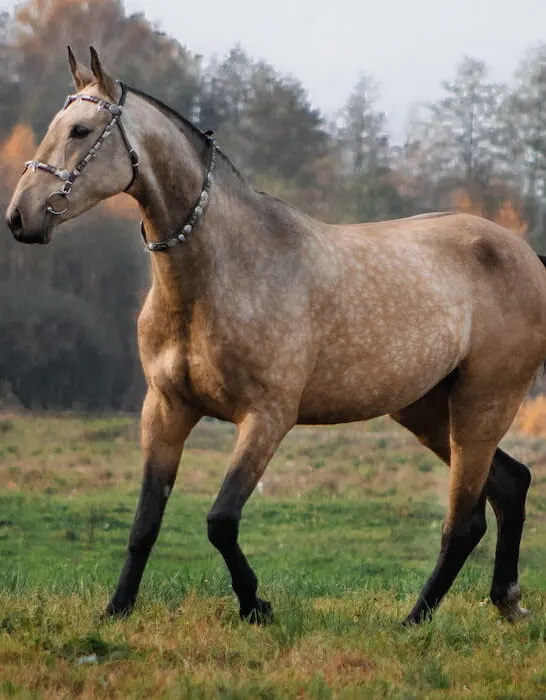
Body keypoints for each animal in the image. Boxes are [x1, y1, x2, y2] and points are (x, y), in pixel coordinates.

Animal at [5, 49, 544, 624]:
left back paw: (415, 620)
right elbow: (145, 522)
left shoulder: (266, 418)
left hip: (480, 406)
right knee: (510, 486)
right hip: (428, 410)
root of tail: (527, 255)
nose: (20, 217)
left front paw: (256, 605)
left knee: (464, 521)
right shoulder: (167, 410)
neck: (222, 273)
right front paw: (117, 610)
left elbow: (220, 520)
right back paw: (506, 600)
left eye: (81, 130)